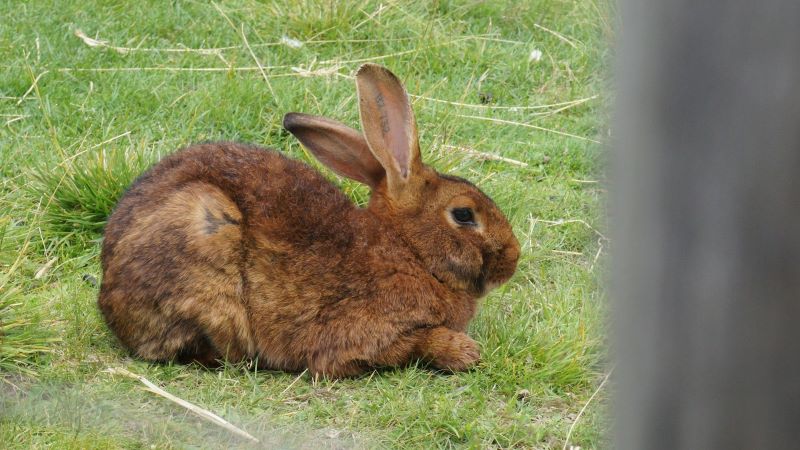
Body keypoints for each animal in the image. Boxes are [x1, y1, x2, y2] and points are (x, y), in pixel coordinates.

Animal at [98, 63, 520, 378]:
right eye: (464, 214)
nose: (513, 260)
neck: (408, 251)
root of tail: (109, 297)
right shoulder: (358, 338)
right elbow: (410, 345)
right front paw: (464, 352)